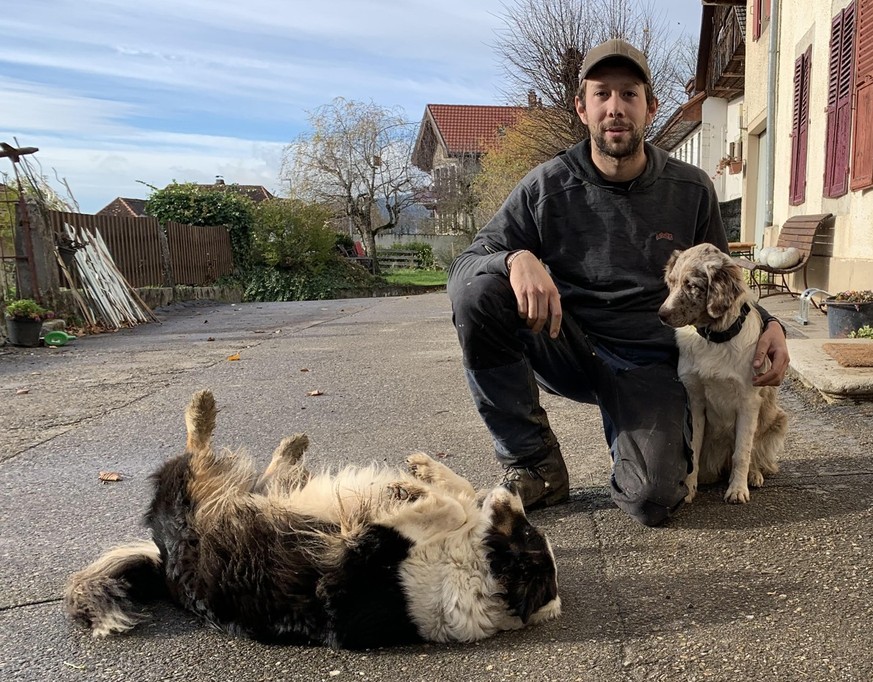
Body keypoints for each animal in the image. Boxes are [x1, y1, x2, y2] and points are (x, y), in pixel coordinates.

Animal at [64, 390, 564, 644]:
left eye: (525, 531)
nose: (510, 492)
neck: (479, 572)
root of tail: (163, 561)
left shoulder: (374, 546)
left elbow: (449, 505)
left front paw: (414, 488)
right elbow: (457, 494)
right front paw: (422, 473)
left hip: (195, 505)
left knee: (196, 456)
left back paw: (203, 411)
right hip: (253, 498)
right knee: (263, 478)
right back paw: (290, 446)